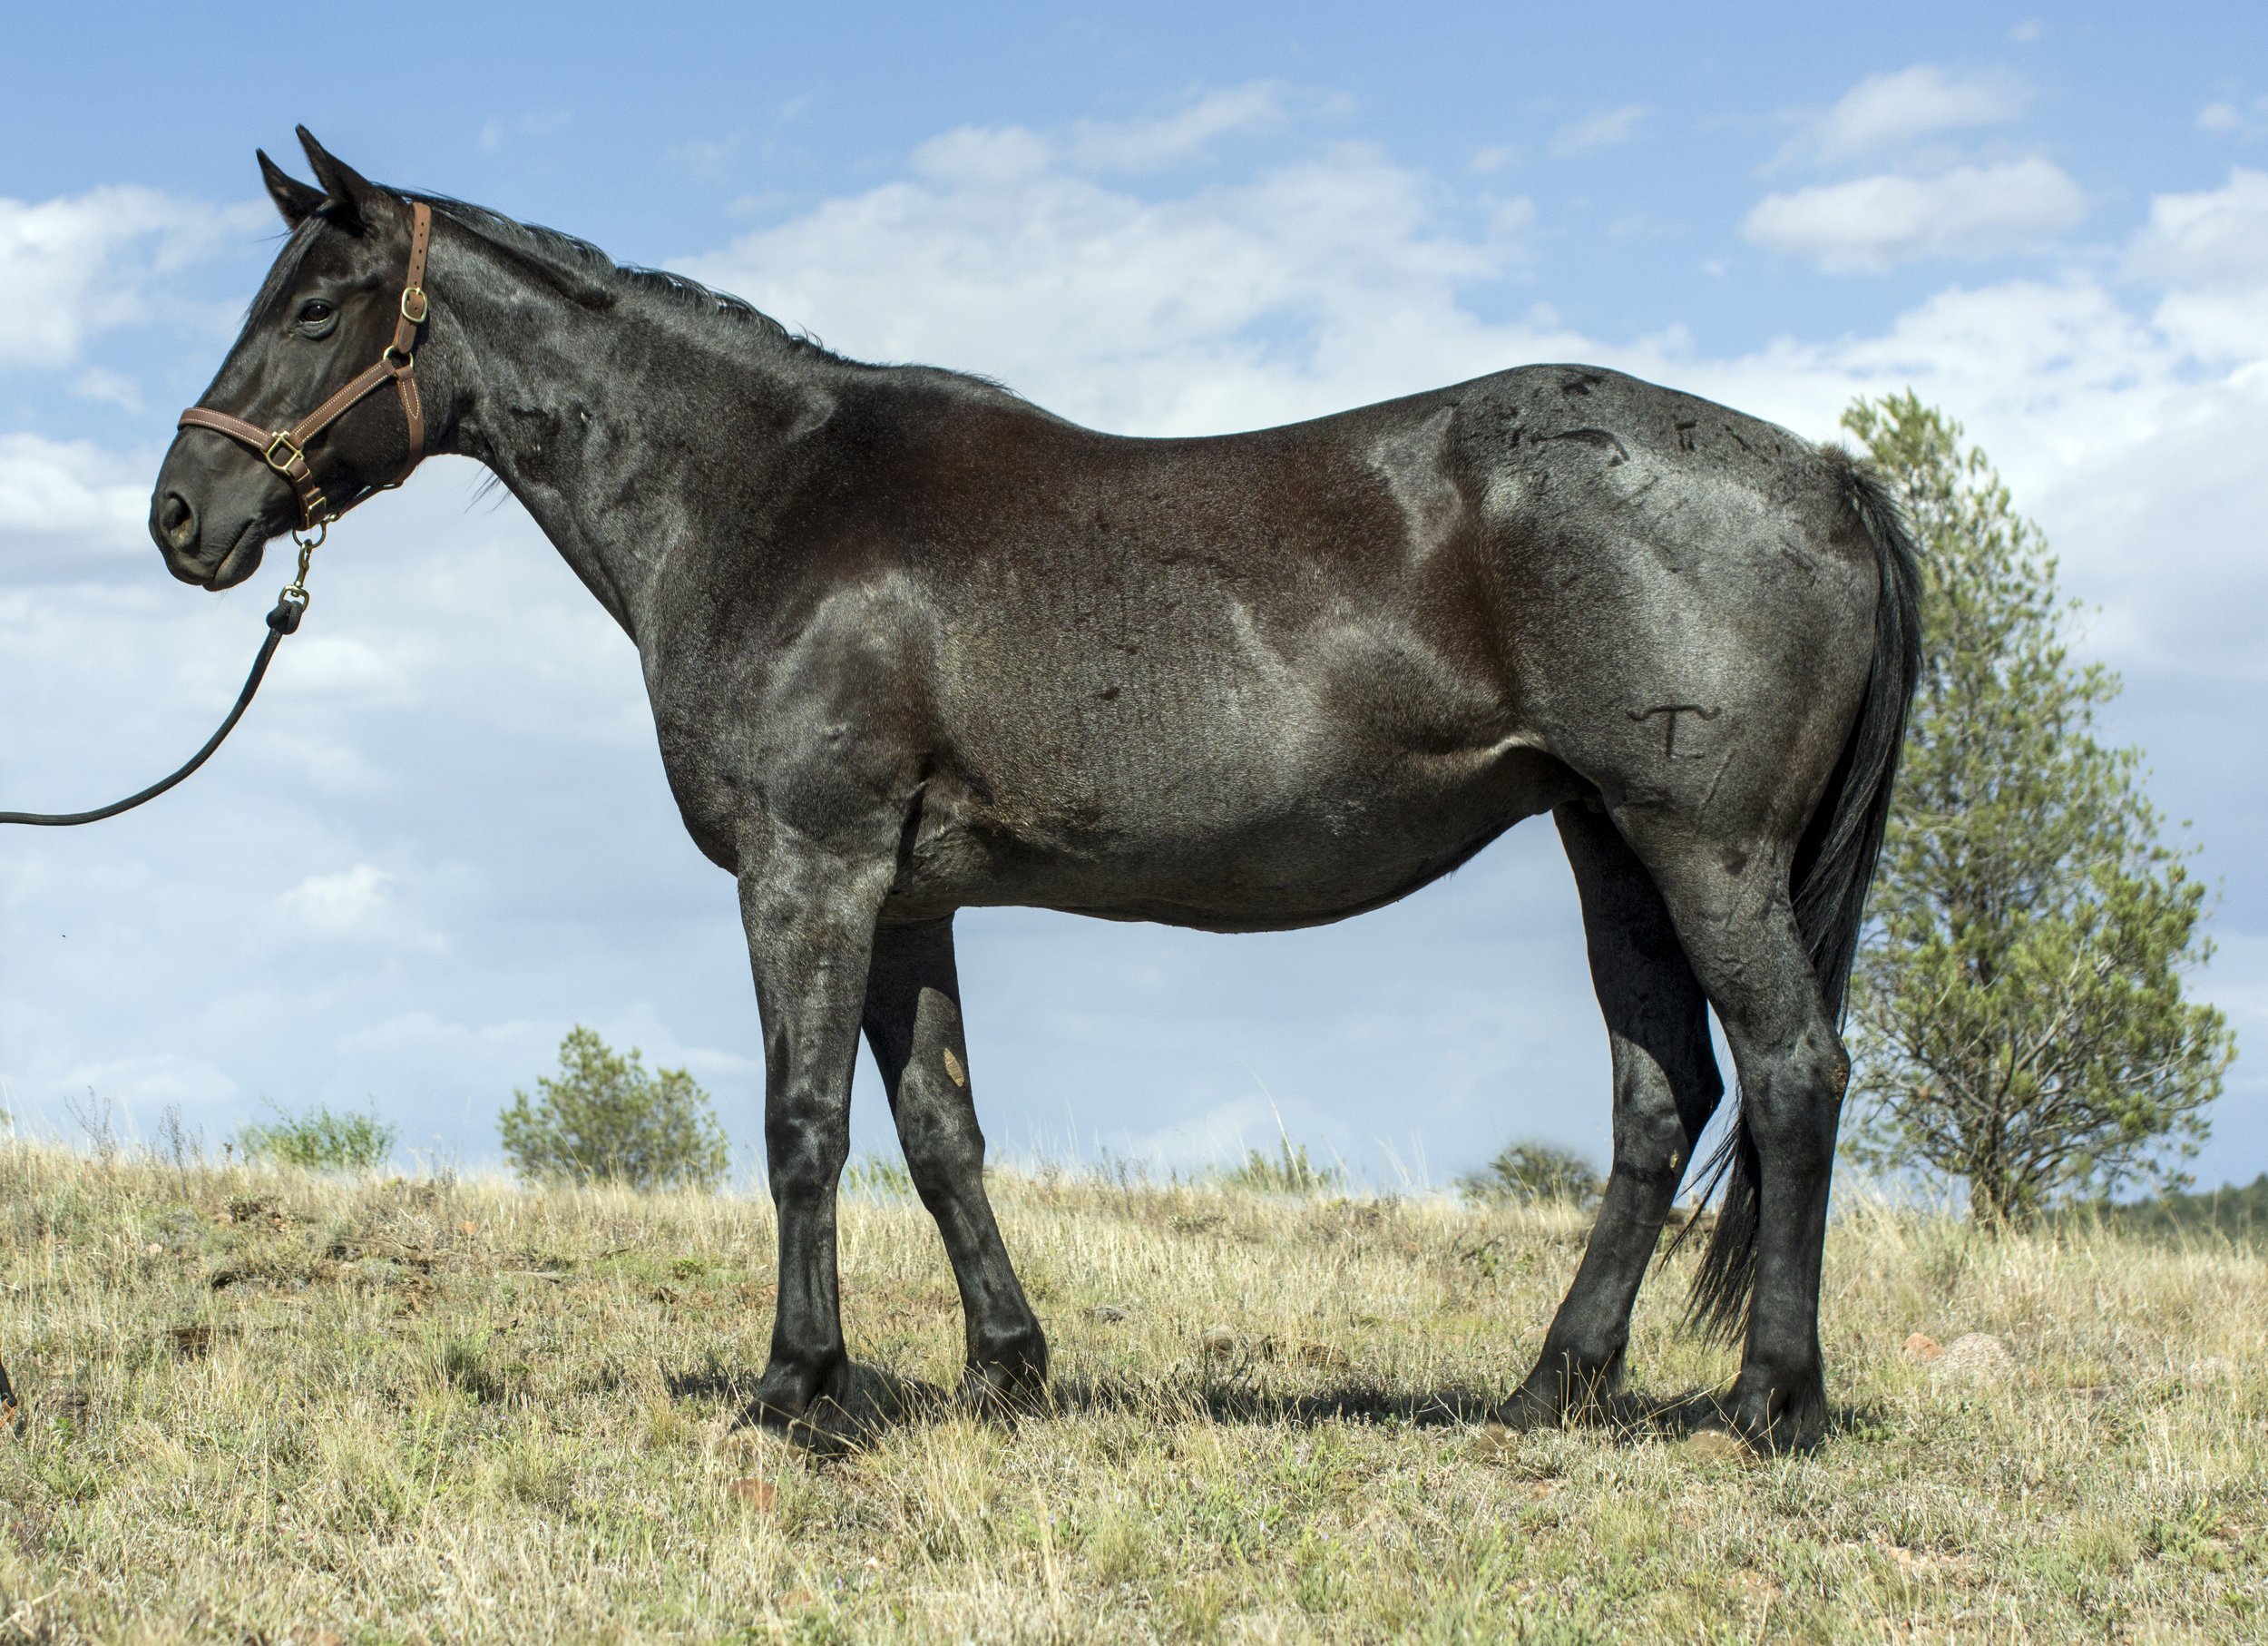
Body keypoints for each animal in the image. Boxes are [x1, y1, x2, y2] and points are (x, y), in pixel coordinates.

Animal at [149, 130, 1919, 1454]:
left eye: (318, 304)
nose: (181, 512)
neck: (765, 494)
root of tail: (1825, 472)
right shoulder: (904, 895)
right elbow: (941, 1130)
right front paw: (1006, 1365)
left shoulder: (809, 870)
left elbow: (803, 1126)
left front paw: (797, 1387)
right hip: (1607, 840)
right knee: (1661, 1097)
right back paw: (1554, 1384)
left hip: (1705, 848)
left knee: (1791, 1072)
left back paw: (1772, 1398)